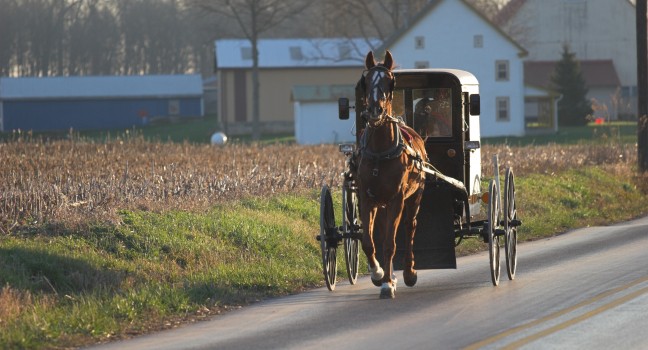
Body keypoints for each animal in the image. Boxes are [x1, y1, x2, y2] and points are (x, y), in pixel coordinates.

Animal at [352, 50, 428, 300]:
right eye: (366, 82)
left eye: (389, 81)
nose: (375, 111)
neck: (379, 151)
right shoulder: (367, 198)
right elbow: (368, 242)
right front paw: (378, 274)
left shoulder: (397, 199)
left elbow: (389, 244)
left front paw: (387, 283)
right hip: (381, 203)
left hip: (414, 196)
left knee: (410, 227)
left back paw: (407, 273)